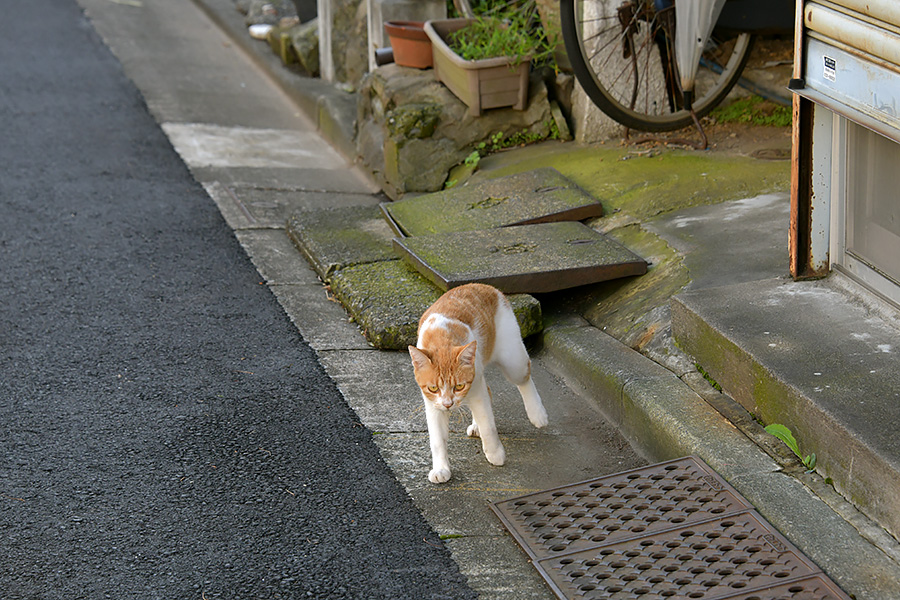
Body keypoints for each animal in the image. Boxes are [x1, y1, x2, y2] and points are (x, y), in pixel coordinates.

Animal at [408, 284, 548, 486]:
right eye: (433, 388)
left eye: (459, 386)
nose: (448, 404)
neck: (441, 339)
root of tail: (485, 286)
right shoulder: (433, 405)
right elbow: (437, 439)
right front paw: (441, 469)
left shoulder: (475, 391)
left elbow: (488, 425)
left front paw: (495, 453)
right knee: (488, 391)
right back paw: (476, 426)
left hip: (513, 362)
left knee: (524, 379)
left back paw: (538, 414)